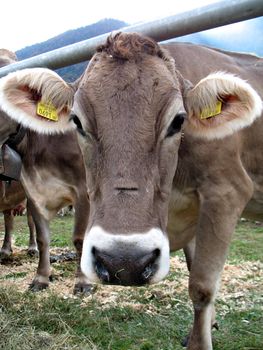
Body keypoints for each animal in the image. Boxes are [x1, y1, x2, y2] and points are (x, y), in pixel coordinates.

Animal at [0, 32, 262, 350]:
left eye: (179, 121)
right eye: (76, 121)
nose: (124, 262)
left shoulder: (226, 192)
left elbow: (201, 285)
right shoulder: (34, 191)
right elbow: (44, 237)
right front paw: (41, 279)